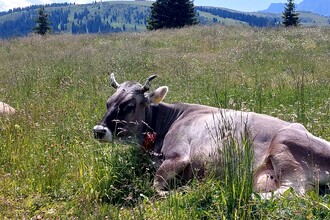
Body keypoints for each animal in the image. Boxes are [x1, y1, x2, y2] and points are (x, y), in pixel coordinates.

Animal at [93, 74, 330, 198]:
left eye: (129, 106)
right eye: (108, 102)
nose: (99, 130)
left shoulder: (178, 155)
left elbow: (156, 187)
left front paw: (180, 191)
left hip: (284, 147)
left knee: (292, 191)